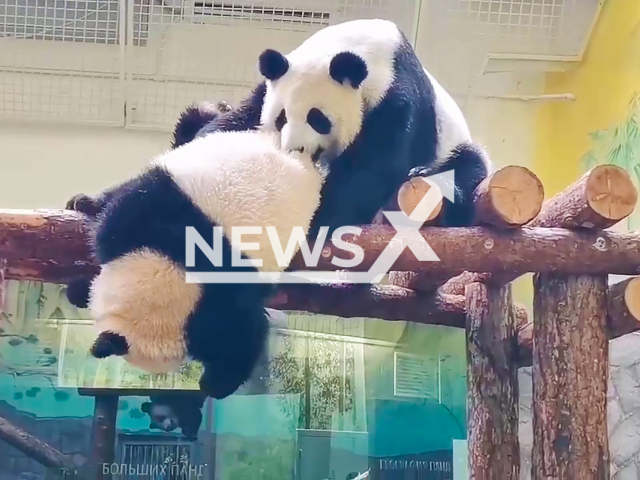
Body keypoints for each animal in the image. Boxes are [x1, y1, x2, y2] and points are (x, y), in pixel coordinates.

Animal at [67, 129, 324, 400]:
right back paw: (84, 202)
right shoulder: (141, 218)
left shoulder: (221, 300)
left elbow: (240, 335)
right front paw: (79, 289)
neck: (173, 266)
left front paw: (216, 383)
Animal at [170, 17, 490, 235]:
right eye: (281, 117)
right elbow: (239, 118)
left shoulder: (395, 98)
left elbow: (371, 170)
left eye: (317, 119)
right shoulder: (271, 85)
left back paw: (428, 178)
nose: (295, 148)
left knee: (468, 167)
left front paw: (316, 217)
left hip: (453, 146)